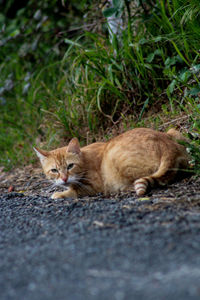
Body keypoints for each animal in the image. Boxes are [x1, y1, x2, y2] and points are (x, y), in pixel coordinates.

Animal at [33, 127, 188, 199]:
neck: (85, 159)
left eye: (70, 166)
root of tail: (166, 145)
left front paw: (60, 194)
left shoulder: (94, 186)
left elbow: (74, 191)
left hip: (114, 159)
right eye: (54, 170)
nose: (64, 178)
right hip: (174, 132)